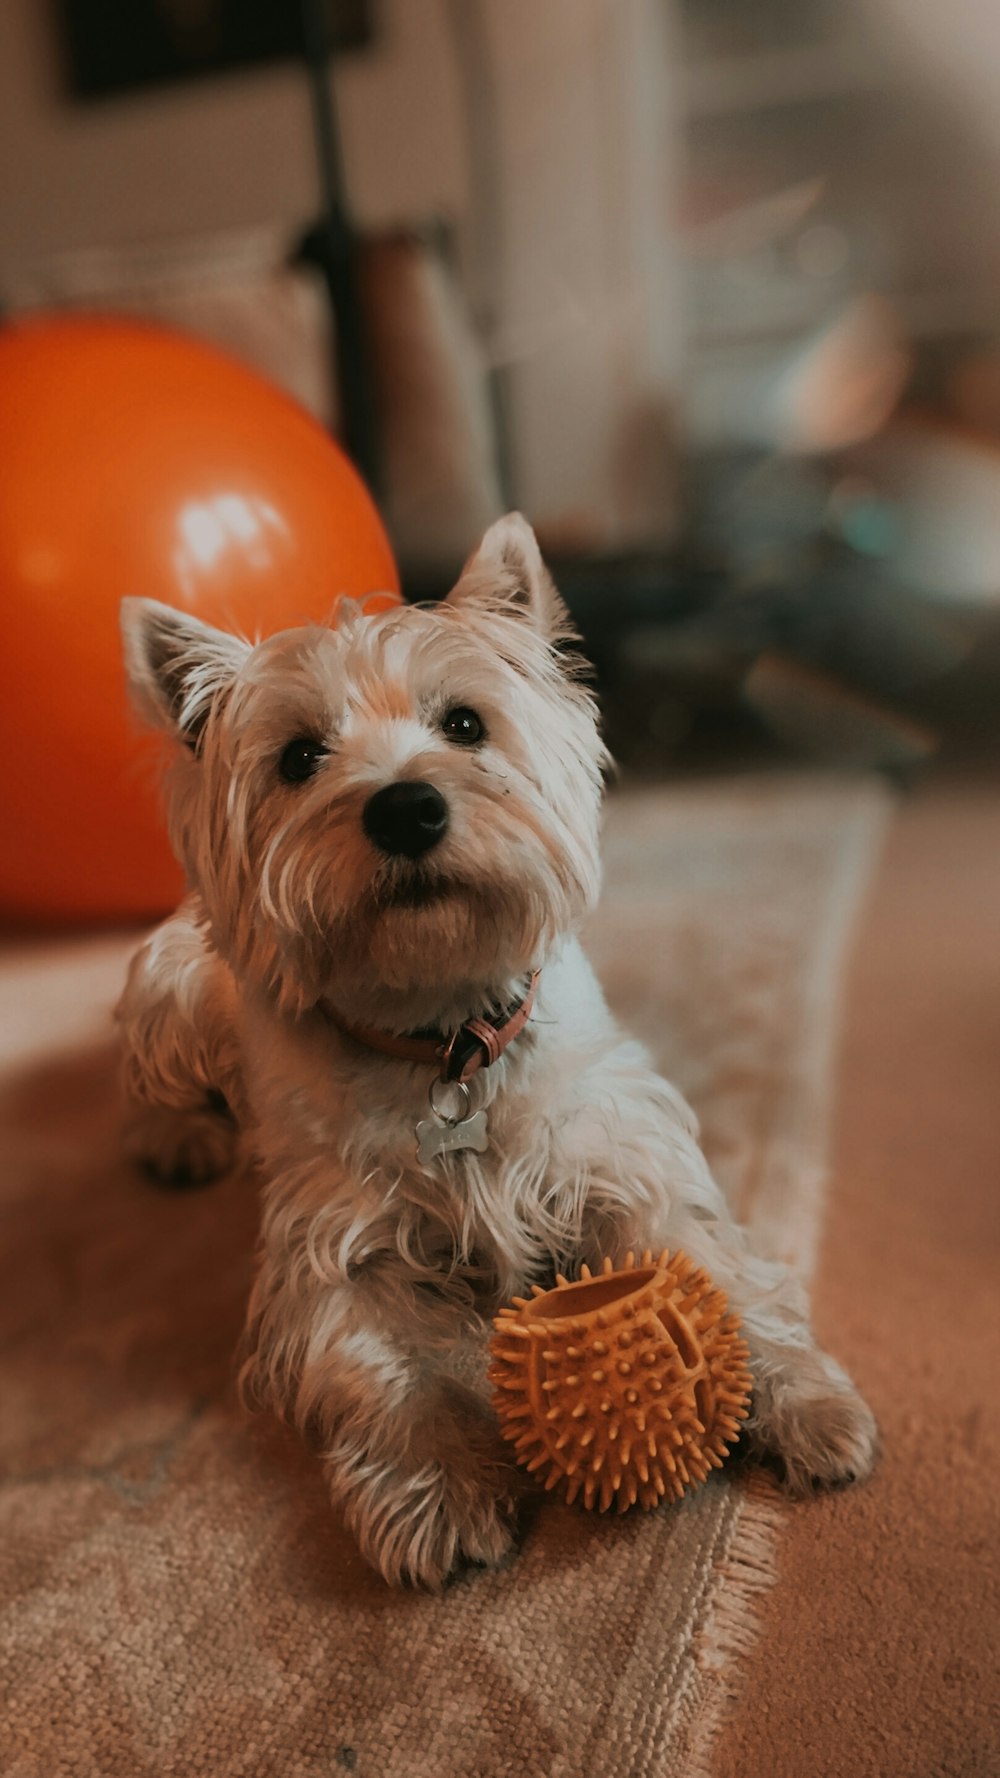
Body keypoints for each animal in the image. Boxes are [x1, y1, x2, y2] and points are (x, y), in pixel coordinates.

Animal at [116, 512, 871, 1585]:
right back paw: (178, 1138)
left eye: (466, 724)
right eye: (299, 757)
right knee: (152, 1081)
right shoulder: (333, 1252)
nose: (405, 807)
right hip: (170, 987)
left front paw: (802, 1400)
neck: (445, 1041)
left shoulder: (622, 1163)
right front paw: (441, 1489)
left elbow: (717, 1271)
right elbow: (383, 1368)